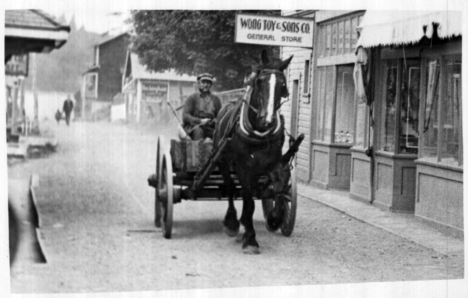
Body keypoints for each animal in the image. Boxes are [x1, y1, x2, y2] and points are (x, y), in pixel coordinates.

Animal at [215, 49, 292, 254]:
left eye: (282, 84)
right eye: (260, 81)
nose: (268, 119)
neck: (260, 133)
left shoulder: (273, 163)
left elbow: (279, 190)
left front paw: (275, 218)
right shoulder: (243, 167)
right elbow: (248, 201)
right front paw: (250, 239)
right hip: (224, 162)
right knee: (231, 188)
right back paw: (233, 222)